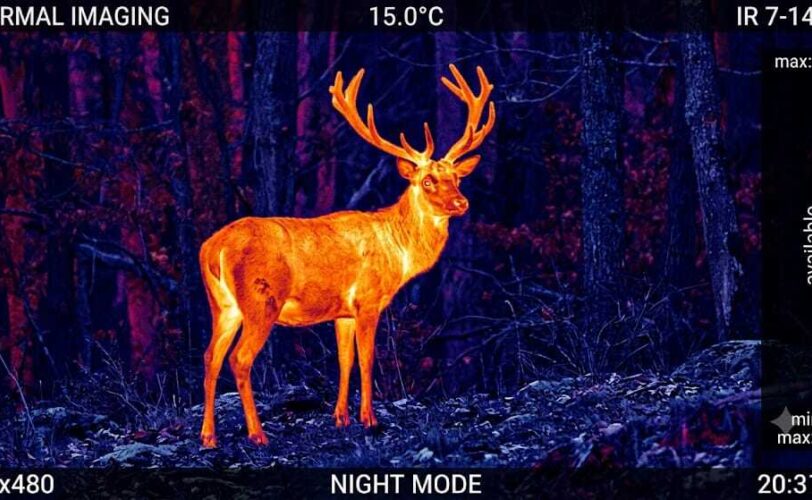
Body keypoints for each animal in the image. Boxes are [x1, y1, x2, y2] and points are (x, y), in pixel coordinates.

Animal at [198, 64, 495, 447]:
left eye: (457, 176)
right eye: (427, 180)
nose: (461, 202)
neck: (397, 250)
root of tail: (213, 248)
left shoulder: (343, 312)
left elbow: (344, 360)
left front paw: (340, 418)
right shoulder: (368, 299)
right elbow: (367, 359)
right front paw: (370, 419)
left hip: (223, 305)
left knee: (210, 356)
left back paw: (208, 437)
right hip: (261, 300)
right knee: (240, 358)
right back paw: (257, 434)